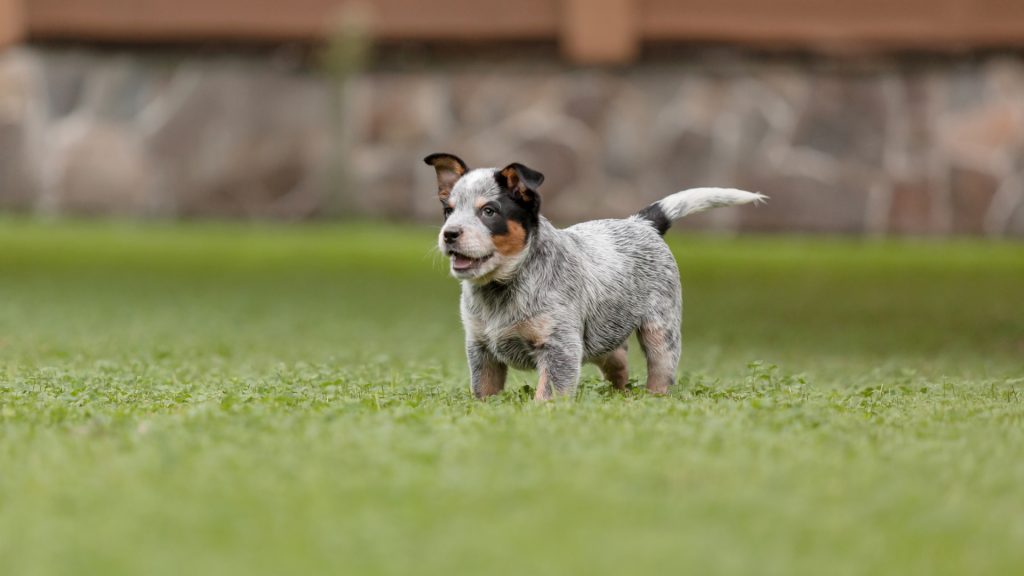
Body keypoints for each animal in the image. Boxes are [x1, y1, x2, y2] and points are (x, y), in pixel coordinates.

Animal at [419, 152, 765, 399]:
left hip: (660, 330)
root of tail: (641, 222)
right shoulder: (481, 350)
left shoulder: (559, 348)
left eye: (488, 211)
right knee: (618, 356)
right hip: (602, 335)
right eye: (449, 210)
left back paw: (654, 398)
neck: (502, 288)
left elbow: (548, 395)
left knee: (660, 371)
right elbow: (484, 393)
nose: (449, 234)